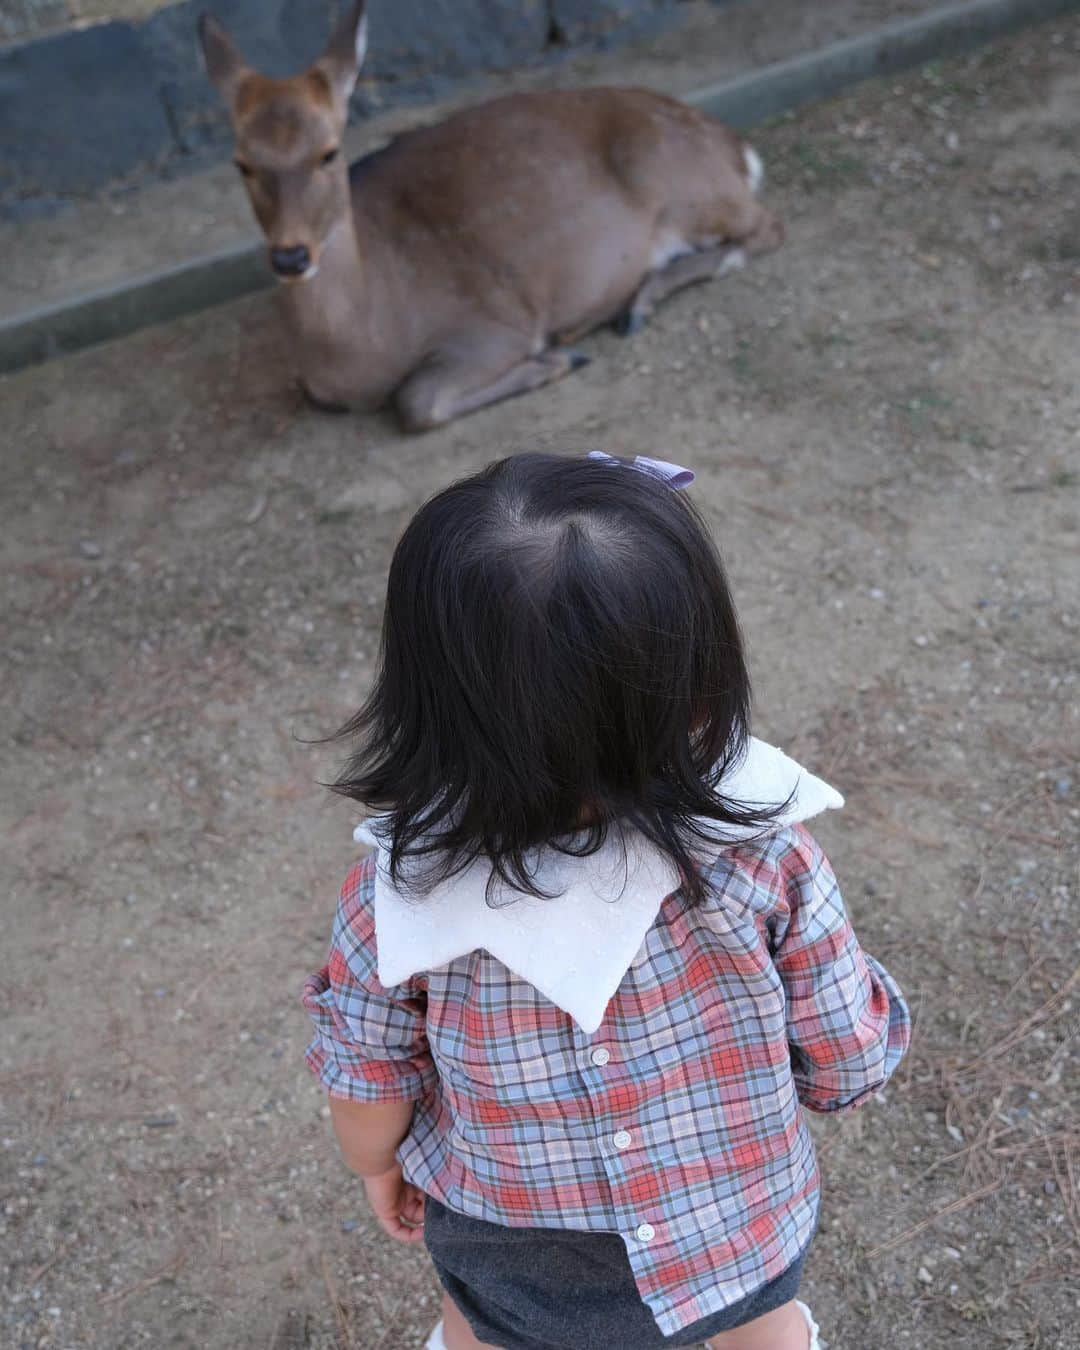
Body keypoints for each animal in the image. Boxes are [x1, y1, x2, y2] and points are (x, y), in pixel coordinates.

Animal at [198, 0, 783, 429]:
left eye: (329, 151)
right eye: (242, 163)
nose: (291, 256)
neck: (362, 351)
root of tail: (735, 148)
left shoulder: (492, 325)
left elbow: (416, 400)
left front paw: (556, 359)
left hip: (688, 185)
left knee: (766, 227)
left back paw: (628, 309)